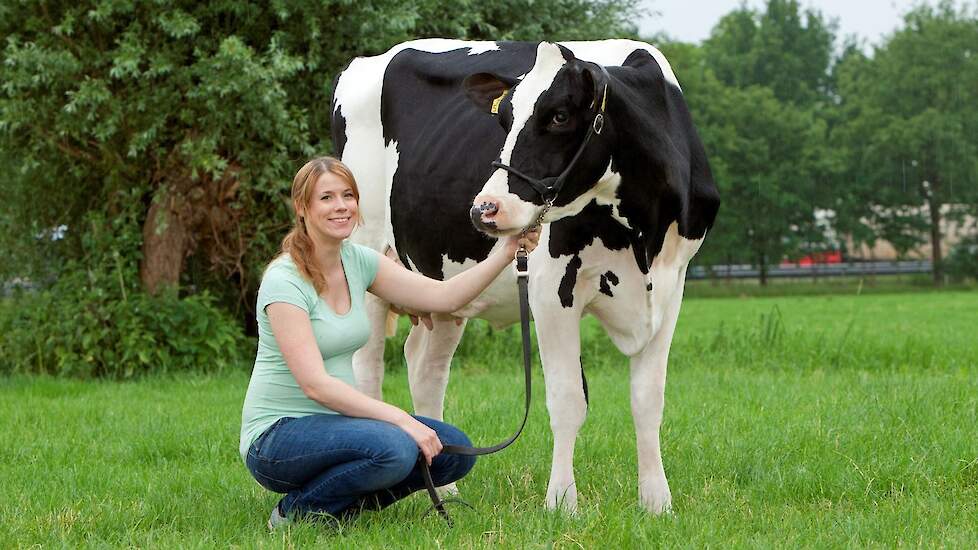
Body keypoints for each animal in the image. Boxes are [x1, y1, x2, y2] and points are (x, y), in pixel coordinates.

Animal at [332, 40, 720, 516]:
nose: (485, 208)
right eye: (503, 119)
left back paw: (446, 491)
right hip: (365, 252)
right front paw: (561, 503)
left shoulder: (672, 284)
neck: (643, 233)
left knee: (425, 366)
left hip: (441, 286)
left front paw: (656, 503)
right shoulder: (552, 287)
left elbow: (648, 399)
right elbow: (568, 399)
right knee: (366, 369)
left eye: (559, 116)